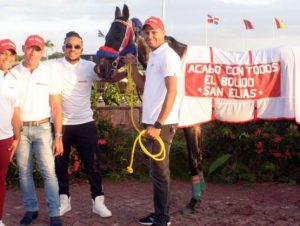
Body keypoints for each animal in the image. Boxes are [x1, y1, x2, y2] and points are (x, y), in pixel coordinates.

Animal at [95, 4, 205, 214]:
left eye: (118, 34)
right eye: (106, 35)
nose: (99, 68)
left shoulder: (192, 123)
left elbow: (194, 159)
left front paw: (193, 202)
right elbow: (198, 159)